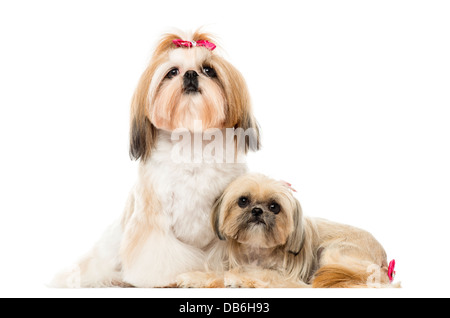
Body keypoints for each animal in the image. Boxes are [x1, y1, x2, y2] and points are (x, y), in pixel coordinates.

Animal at [53, 30, 260, 288]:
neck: (191, 143)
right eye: (172, 72)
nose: (191, 74)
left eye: (208, 70)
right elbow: (155, 254)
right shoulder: (153, 219)